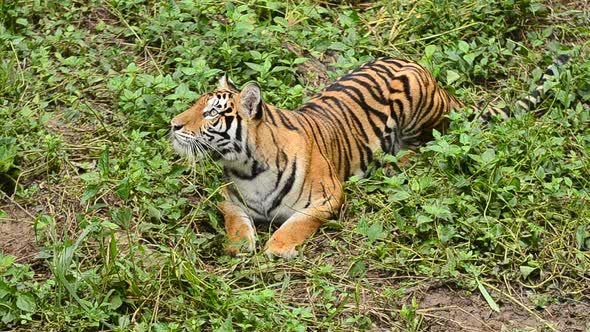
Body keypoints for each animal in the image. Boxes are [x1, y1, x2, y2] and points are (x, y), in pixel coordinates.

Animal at [170, 54, 568, 258]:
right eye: (194, 105)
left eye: (211, 113)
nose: (173, 125)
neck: (246, 167)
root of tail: (431, 76)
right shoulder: (228, 199)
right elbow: (235, 221)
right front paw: (241, 245)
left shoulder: (329, 196)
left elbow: (298, 222)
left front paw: (277, 247)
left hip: (418, 111)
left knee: (423, 146)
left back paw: (394, 165)